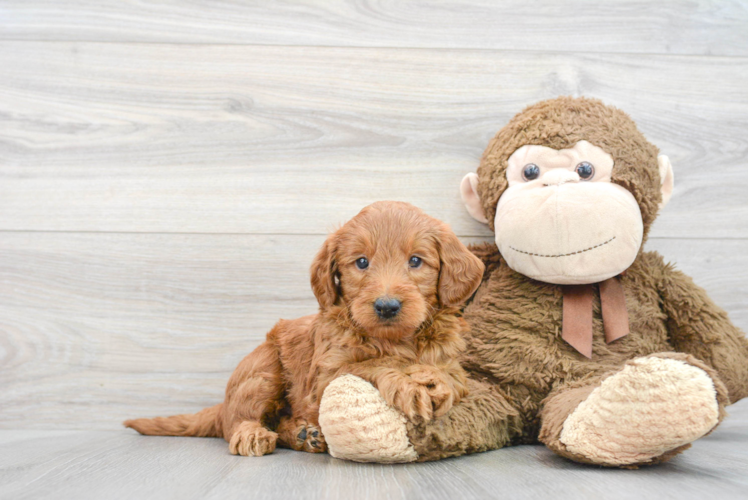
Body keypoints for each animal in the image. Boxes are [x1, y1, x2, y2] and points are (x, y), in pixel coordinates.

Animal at [125, 202, 482, 458]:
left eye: (416, 261)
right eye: (361, 262)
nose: (387, 306)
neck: (396, 339)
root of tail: (223, 403)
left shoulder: (454, 364)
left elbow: (456, 379)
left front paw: (435, 378)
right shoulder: (323, 378)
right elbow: (372, 363)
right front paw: (408, 383)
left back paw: (304, 434)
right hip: (263, 369)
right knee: (235, 422)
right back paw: (253, 433)